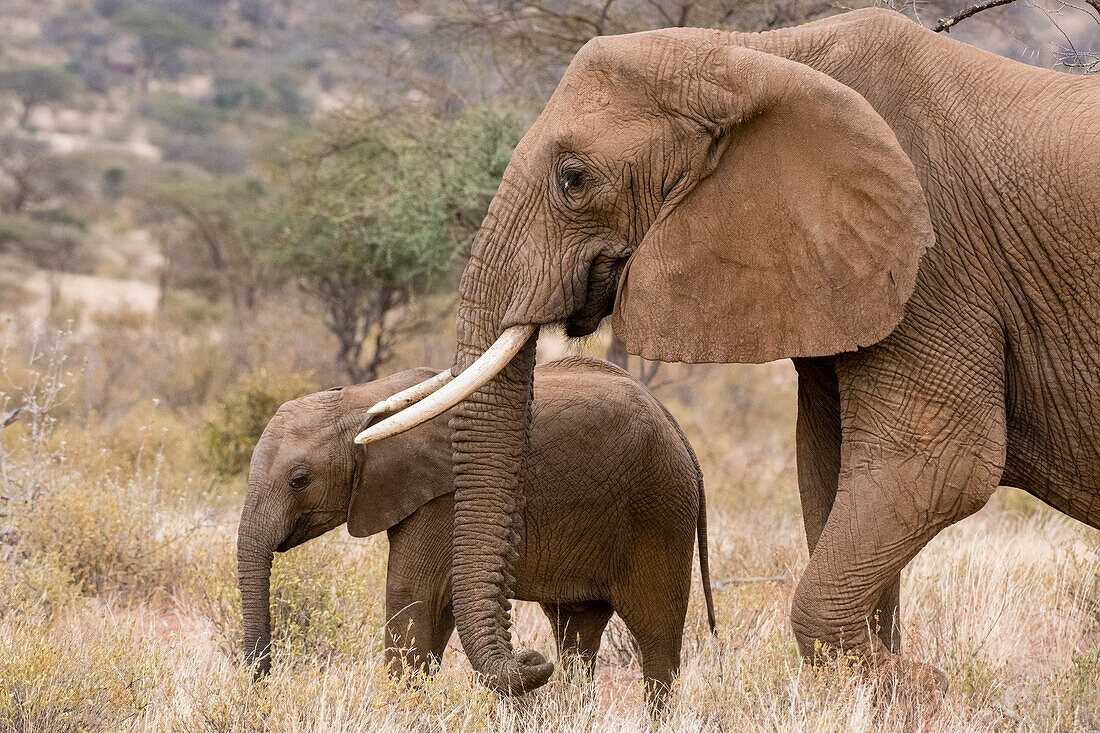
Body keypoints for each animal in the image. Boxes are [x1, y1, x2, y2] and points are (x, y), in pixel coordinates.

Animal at [239, 356, 712, 704]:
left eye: (299, 480)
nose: (261, 680)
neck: (364, 401)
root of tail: (682, 435)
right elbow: (436, 605)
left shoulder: (444, 496)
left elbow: (412, 593)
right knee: (577, 632)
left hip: (661, 512)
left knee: (656, 637)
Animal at [360, 9, 1100, 695]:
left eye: (573, 179)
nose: (534, 663)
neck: (754, 56)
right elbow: (830, 469)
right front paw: (892, 682)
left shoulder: (937, 268)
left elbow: (937, 465)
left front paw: (919, 686)